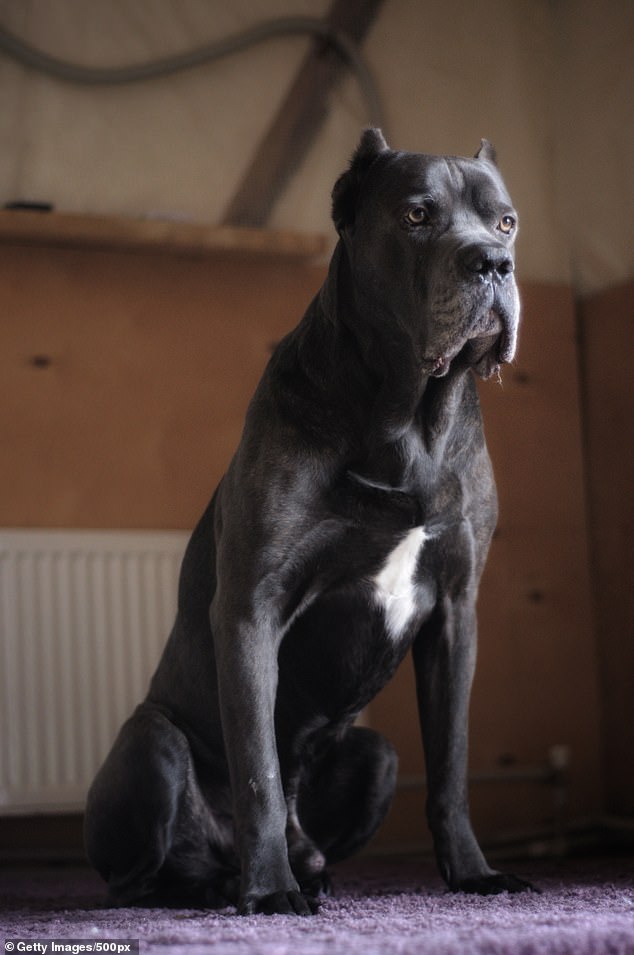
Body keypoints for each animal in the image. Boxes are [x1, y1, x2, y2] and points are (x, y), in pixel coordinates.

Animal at [84, 127, 528, 912]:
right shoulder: (250, 608)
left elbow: (450, 767)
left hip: (378, 755)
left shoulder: (455, 613)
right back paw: (227, 884)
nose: (494, 262)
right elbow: (259, 767)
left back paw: (296, 870)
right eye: (417, 215)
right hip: (152, 740)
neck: (408, 417)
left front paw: (473, 873)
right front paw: (268, 892)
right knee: (142, 875)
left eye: (504, 222)